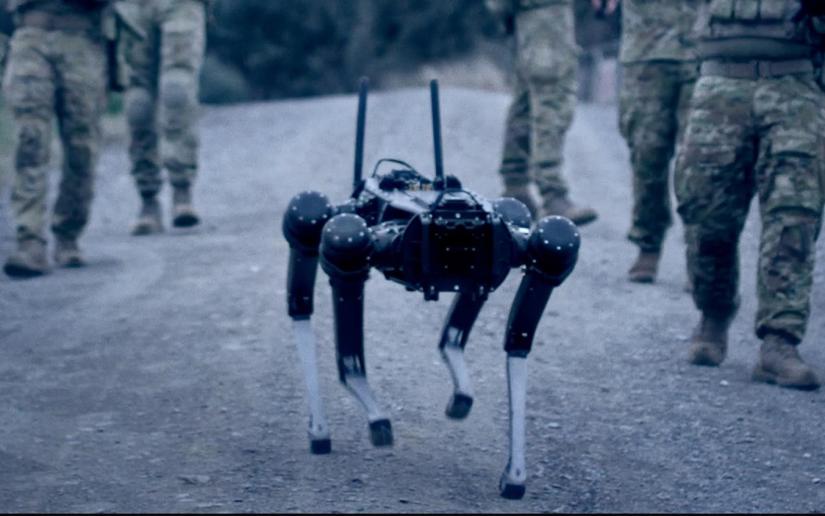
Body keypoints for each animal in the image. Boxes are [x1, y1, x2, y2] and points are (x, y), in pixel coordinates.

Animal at [284, 78, 580, 498]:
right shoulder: (349, 241)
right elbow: (348, 355)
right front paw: (375, 417)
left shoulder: (532, 251)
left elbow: (518, 338)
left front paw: (515, 473)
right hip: (329, 227)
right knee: (304, 293)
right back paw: (321, 430)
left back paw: (459, 389)